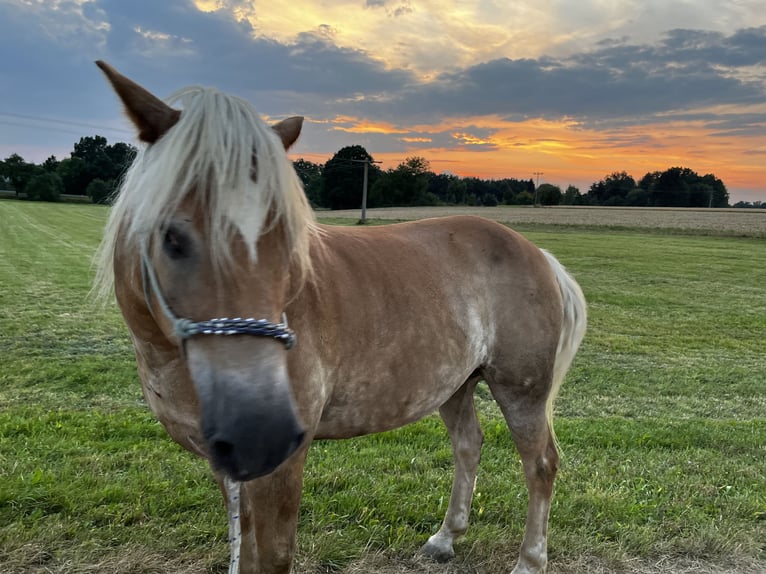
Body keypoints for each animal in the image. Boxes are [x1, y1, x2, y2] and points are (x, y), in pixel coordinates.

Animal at [96, 60, 588, 572]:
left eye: (289, 237)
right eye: (170, 236)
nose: (261, 426)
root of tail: (536, 254)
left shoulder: (280, 467)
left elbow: (270, 556)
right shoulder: (231, 467)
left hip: (521, 390)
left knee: (541, 463)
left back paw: (530, 559)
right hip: (456, 385)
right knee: (468, 447)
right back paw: (445, 538)